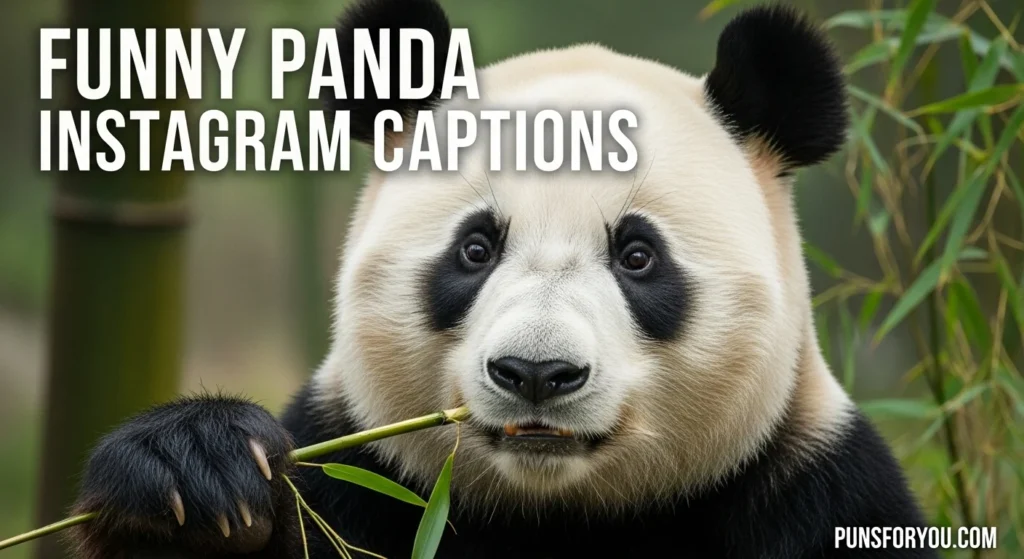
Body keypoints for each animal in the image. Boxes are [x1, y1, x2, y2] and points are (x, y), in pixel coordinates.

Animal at [70, 0, 937, 557]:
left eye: (638, 256)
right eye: (477, 248)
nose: (537, 373)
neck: (557, 510)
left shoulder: (811, 494)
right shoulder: (363, 478)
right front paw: (195, 478)